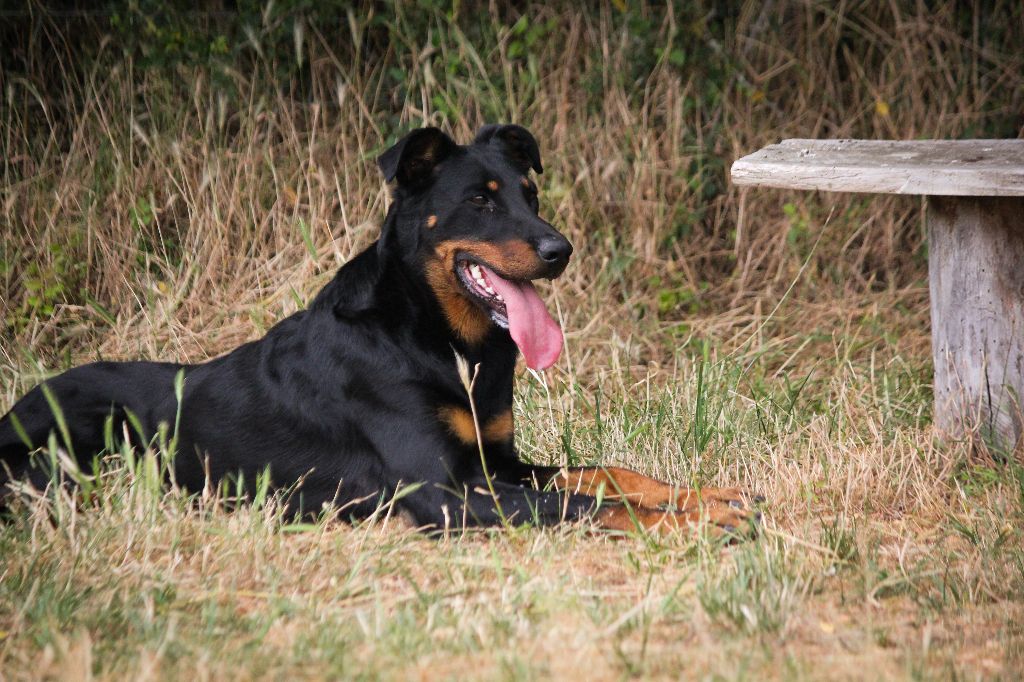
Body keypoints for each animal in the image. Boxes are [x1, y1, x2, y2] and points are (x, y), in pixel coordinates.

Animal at [2, 124, 761, 532]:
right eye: (481, 202)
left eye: (531, 193)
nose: (561, 250)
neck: (439, 338)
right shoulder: (439, 492)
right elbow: (576, 503)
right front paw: (699, 522)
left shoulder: (497, 462)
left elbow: (608, 472)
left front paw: (706, 496)